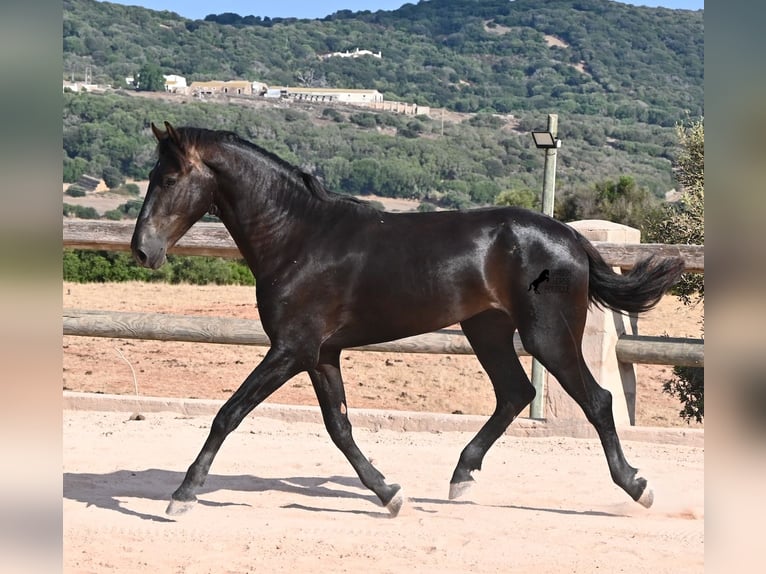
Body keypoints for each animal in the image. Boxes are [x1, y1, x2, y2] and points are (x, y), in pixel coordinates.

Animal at [131, 121, 684, 517]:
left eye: (170, 178)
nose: (143, 251)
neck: (298, 238)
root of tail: (570, 237)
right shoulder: (320, 353)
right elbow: (339, 427)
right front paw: (390, 494)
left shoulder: (290, 348)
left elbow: (229, 414)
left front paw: (182, 495)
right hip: (487, 330)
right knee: (515, 394)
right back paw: (461, 477)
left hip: (547, 335)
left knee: (595, 400)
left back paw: (637, 487)